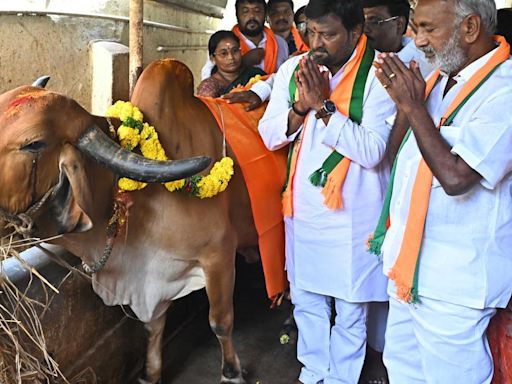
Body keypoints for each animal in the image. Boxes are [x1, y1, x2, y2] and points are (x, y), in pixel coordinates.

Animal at [0, 58, 264, 382]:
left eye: (34, 144)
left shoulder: (219, 254)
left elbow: (221, 321)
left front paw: (231, 372)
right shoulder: (153, 276)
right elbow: (153, 325)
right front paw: (151, 372)